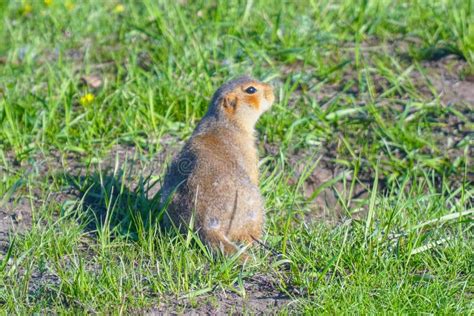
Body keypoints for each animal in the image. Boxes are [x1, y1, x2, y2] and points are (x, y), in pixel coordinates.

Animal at [161, 76, 276, 256]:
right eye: (251, 90)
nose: (272, 90)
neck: (225, 123)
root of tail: (207, 225)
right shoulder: (248, 152)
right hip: (255, 209)